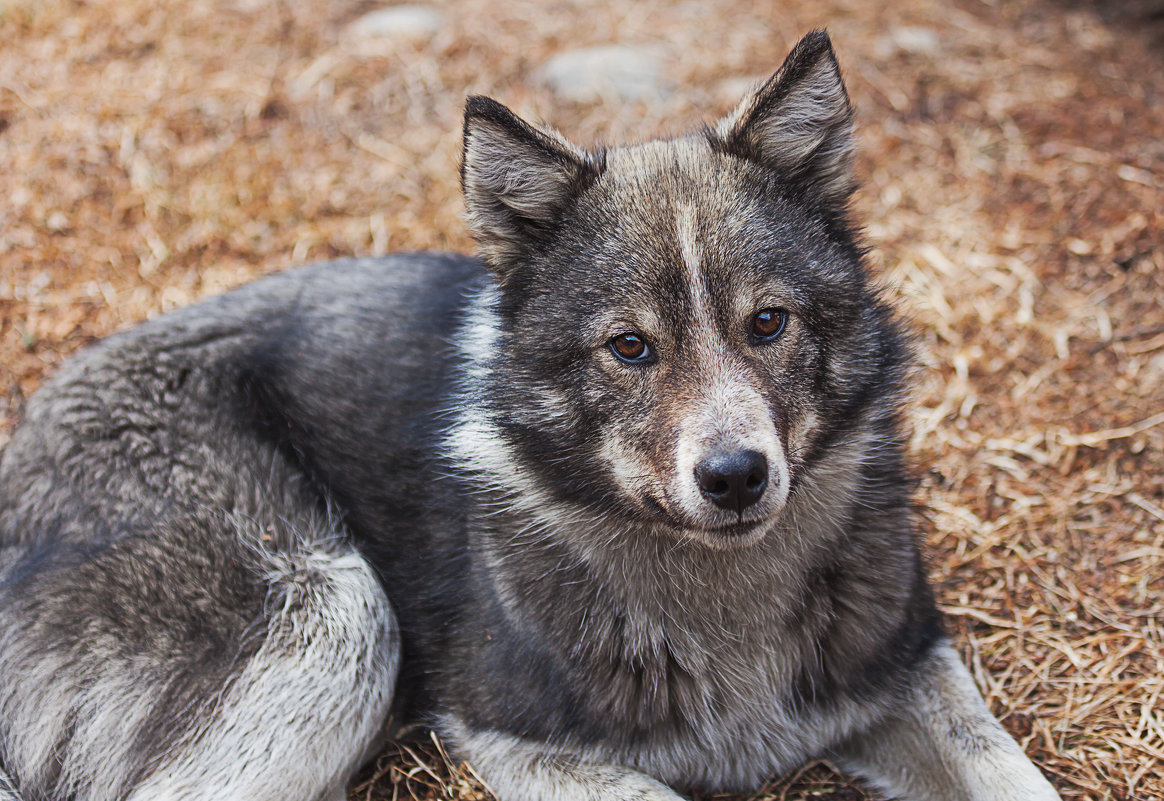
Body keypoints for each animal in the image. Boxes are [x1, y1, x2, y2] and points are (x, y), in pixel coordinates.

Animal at [0, 29, 1061, 801]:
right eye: (628, 347)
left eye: (768, 323)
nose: (735, 477)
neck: (721, 593)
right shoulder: (508, 733)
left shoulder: (908, 668)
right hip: (335, 618)